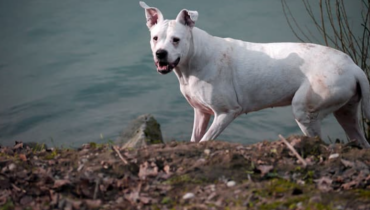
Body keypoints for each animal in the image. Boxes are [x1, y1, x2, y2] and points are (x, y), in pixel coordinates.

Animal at [139, 2, 370, 148]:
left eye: (176, 40)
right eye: (155, 38)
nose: (161, 54)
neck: (195, 57)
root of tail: (354, 67)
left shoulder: (226, 112)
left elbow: (206, 139)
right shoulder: (201, 113)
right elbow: (196, 139)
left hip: (305, 110)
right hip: (345, 111)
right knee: (361, 140)